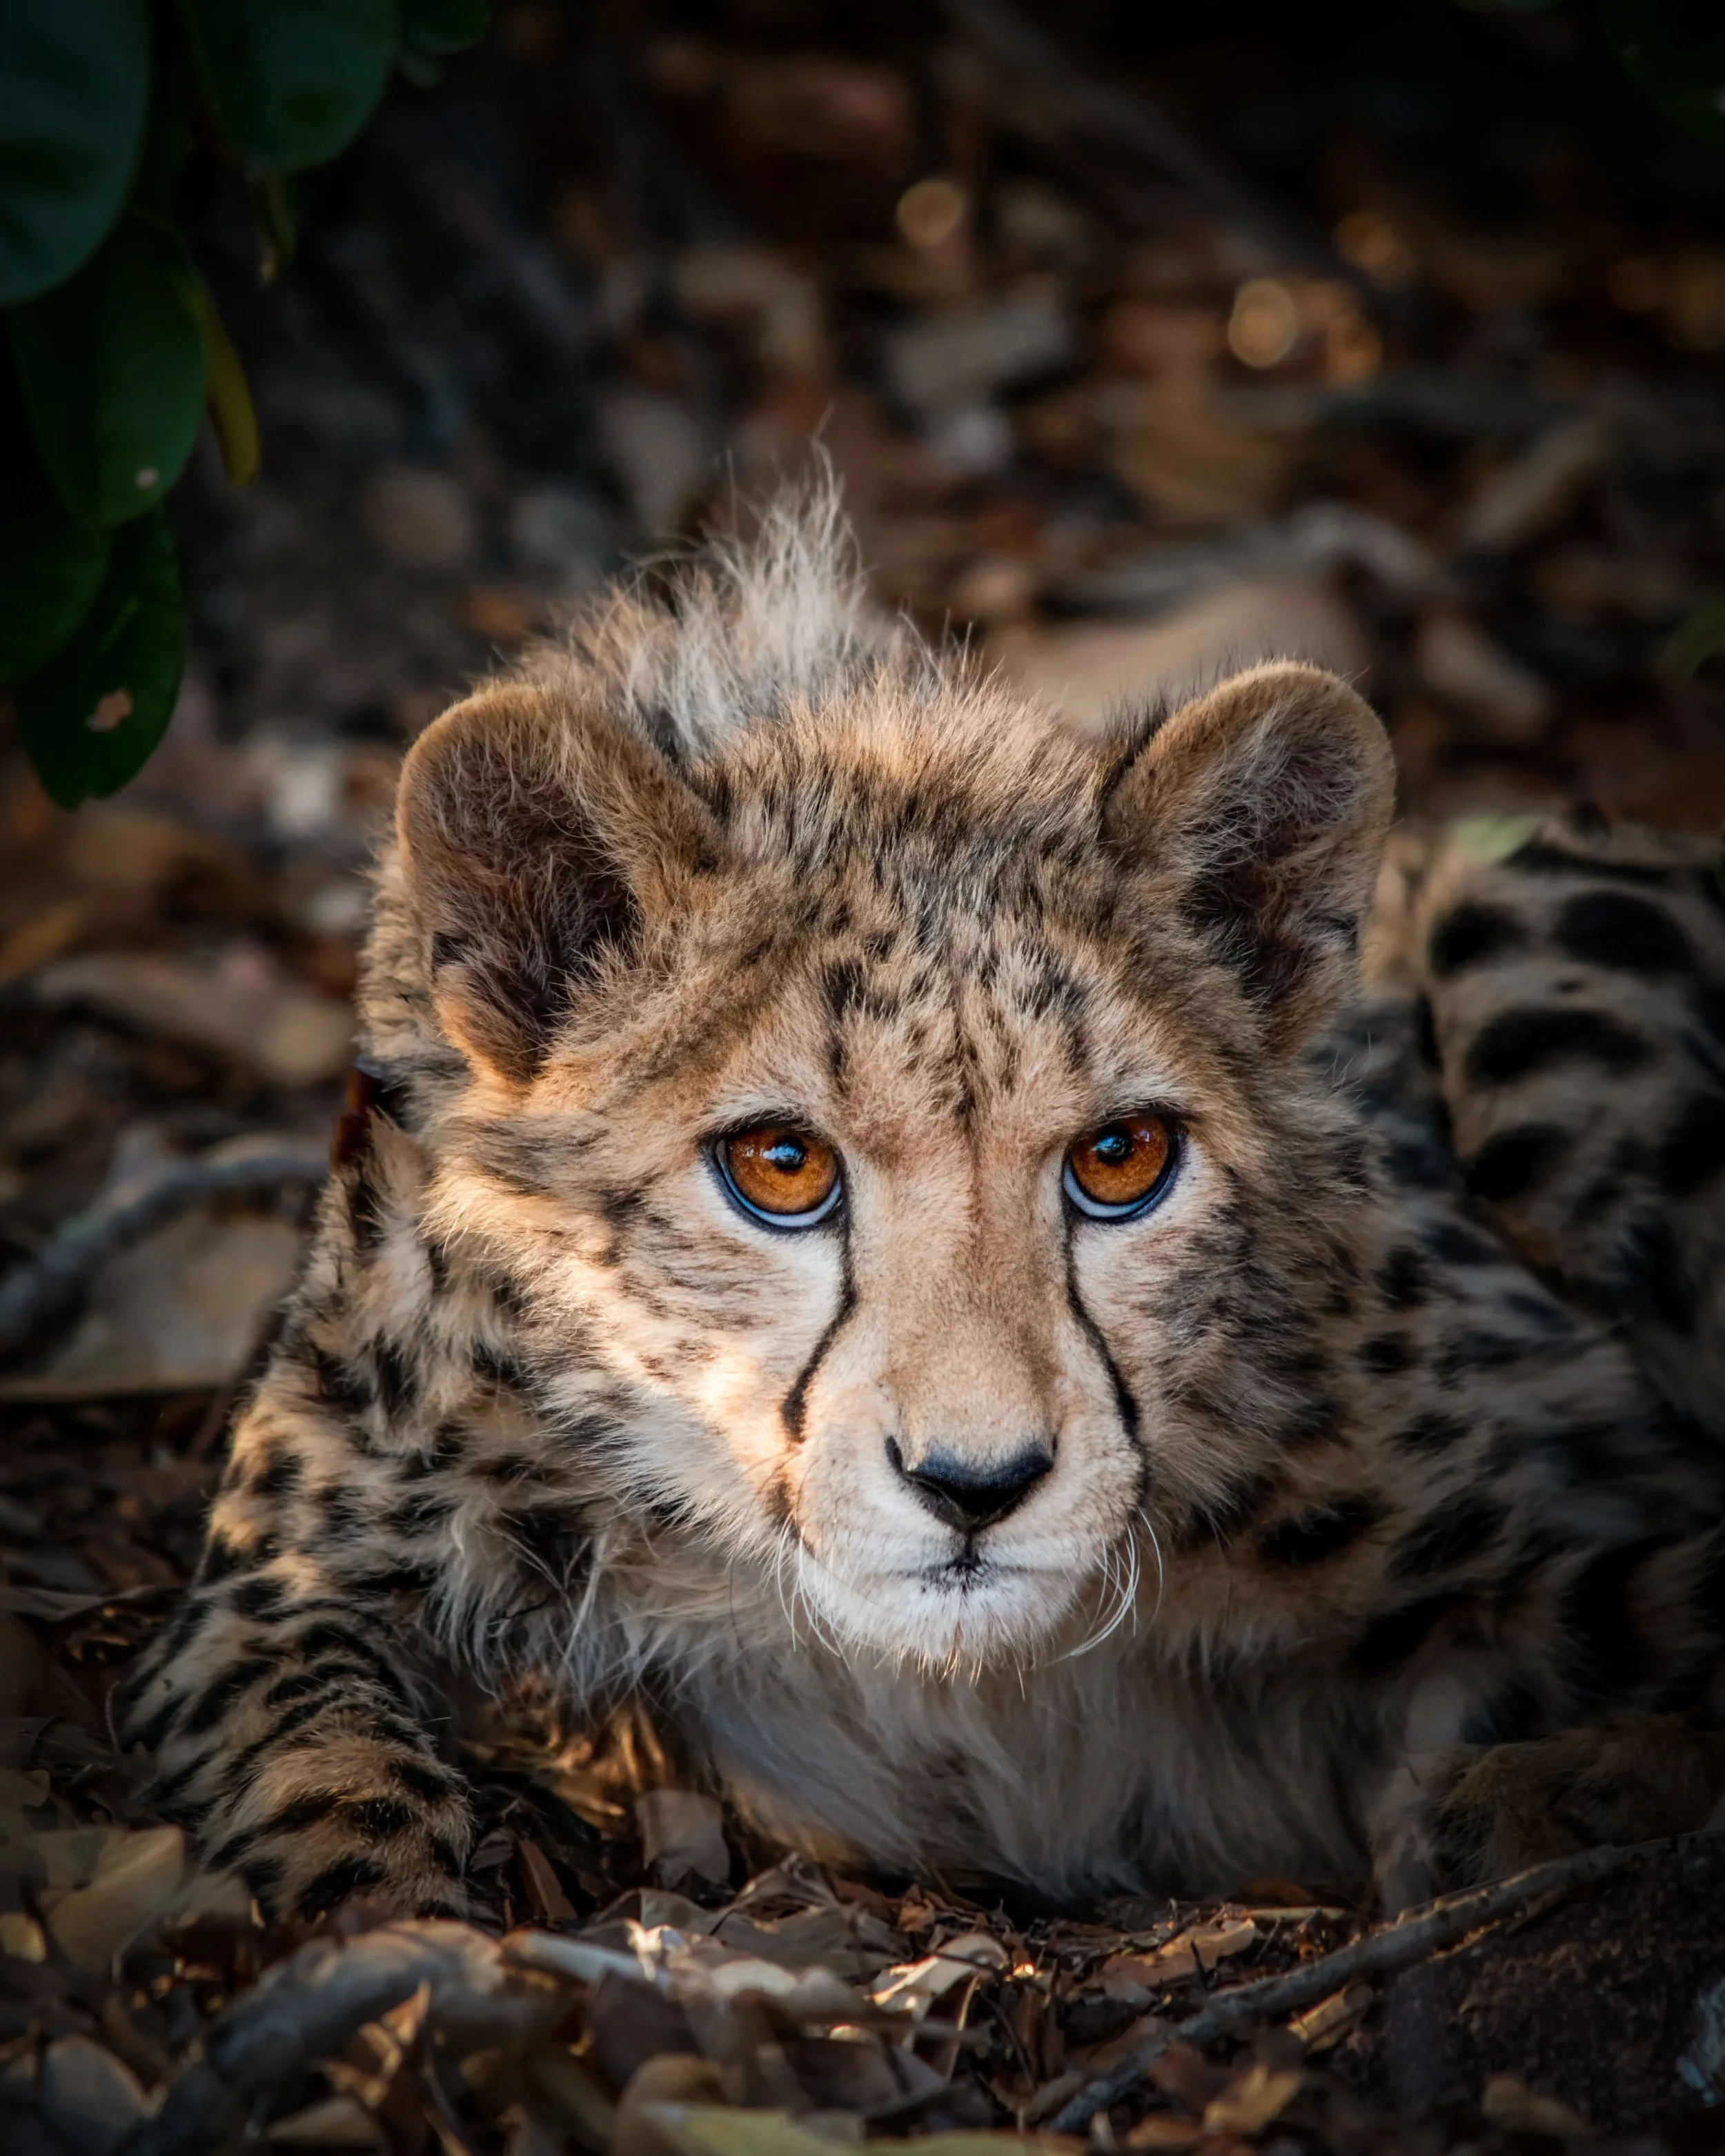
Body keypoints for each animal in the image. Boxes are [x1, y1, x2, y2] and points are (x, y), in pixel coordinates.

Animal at [116, 489, 1725, 1926]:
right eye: (780, 1166)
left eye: (1122, 1156)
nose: (975, 1484)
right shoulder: (290, 1561)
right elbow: (315, 1747)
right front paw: (393, 1939)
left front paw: (1532, 1792)